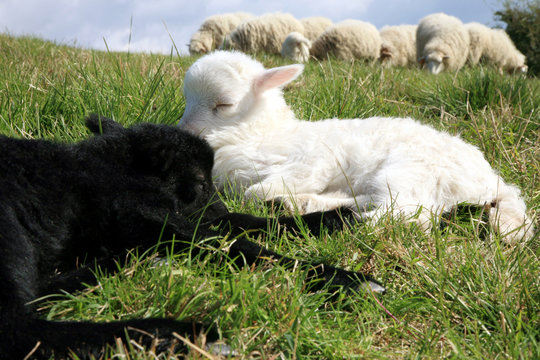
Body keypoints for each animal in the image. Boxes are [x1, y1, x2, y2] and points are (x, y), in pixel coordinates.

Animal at [0, 115, 384, 358]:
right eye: (199, 182)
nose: (217, 207)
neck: (112, 167)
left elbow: (241, 224)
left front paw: (332, 219)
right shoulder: (140, 209)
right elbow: (229, 243)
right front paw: (346, 280)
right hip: (9, 233)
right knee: (20, 332)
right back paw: (190, 335)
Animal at [179, 50, 532, 243]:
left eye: (224, 104)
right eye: (186, 98)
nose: (185, 130)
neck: (260, 133)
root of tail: (493, 182)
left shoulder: (314, 159)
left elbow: (255, 192)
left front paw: (273, 197)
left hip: (412, 170)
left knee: (408, 214)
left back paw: (345, 221)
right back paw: (301, 205)